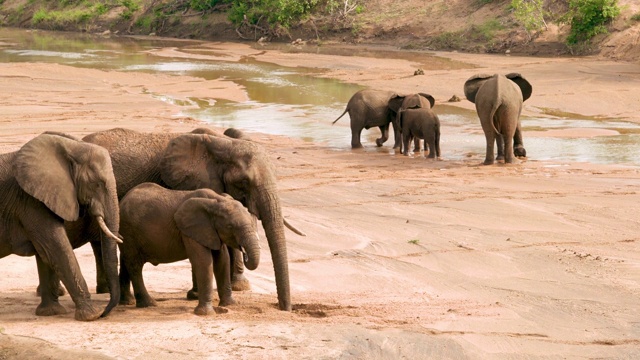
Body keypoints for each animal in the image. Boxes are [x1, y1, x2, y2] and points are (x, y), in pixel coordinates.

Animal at [0, 132, 121, 320]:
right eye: (97, 183)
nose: (105, 313)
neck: (72, 148)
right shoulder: (30, 201)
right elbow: (57, 248)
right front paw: (91, 315)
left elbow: (45, 252)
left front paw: (51, 312)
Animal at [117, 183, 260, 316]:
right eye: (230, 226)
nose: (245, 253)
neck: (216, 201)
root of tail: (122, 200)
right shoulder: (190, 230)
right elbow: (203, 261)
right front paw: (205, 314)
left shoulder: (212, 231)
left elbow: (222, 260)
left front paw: (230, 305)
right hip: (128, 231)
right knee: (135, 266)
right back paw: (149, 304)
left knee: (125, 262)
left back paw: (127, 302)